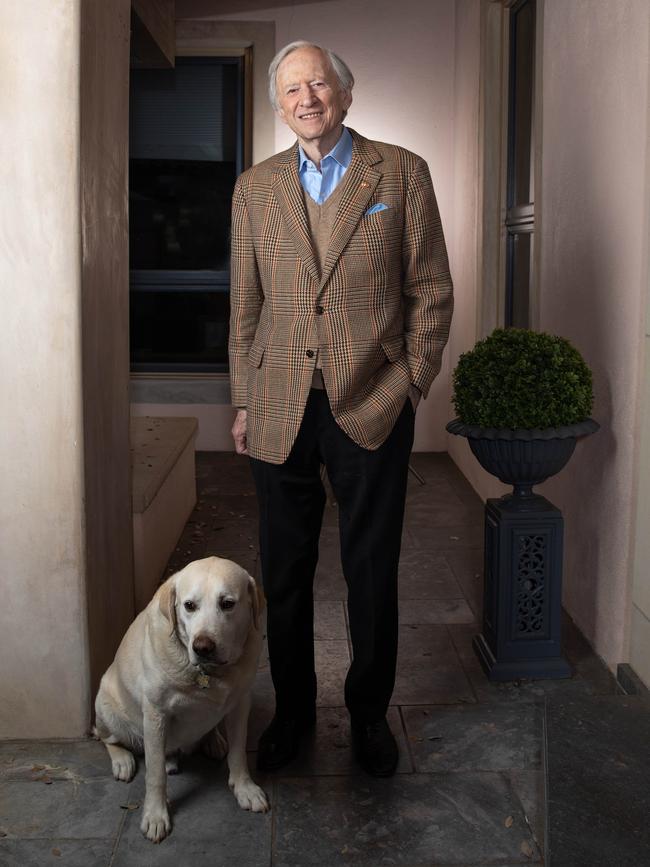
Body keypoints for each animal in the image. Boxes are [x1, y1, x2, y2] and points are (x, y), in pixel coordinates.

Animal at [92, 556, 268, 840]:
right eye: (189, 605)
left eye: (227, 603)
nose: (203, 647)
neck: (207, 673)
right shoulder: (155, 714)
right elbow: (154, 774)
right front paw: (155, 814)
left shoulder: (241, 702)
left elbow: (239, 751)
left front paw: (245, 788)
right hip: (107, 707)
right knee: (108, 738)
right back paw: (122, 760)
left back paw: (212, 740)